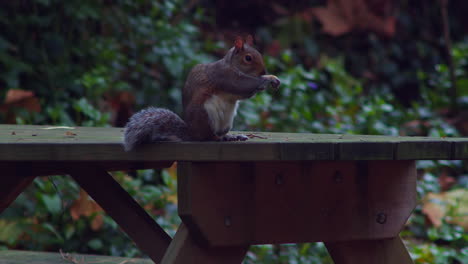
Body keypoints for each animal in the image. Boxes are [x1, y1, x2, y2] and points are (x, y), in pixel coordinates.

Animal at [122, 35, 280, 151]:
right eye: (248, 58)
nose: (263, 71)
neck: (231, 65)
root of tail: (193, 133)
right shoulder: (224, 76)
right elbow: (242, 86)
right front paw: (268, 78)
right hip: (206, 113)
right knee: (209, 137)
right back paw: (219, 138)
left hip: (227, 121)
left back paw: (230, 137)